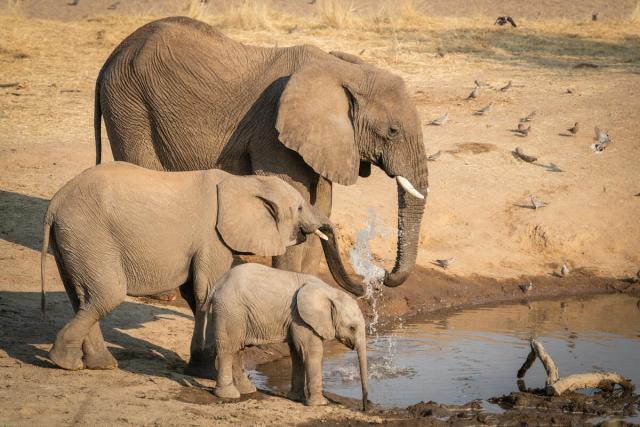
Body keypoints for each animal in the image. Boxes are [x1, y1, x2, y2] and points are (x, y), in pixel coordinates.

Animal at [40, 161, 344, 377]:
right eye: (300, 207)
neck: (242, 181)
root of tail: (55, 203)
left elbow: (195, 293)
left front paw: (200, 368)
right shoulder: (212, 236)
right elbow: (207, 291)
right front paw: (207, 371)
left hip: (73, 240)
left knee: (83, 298)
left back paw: (90, 364)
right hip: (88, 235)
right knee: (106, 295)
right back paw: (67, 363)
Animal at [95, 16, 429, 296]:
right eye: (393, 131)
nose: (379, 278)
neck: (339, 70)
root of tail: (112, 56)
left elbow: (321, 203)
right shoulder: (272, 132)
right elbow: (293, 201)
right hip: (129, 105)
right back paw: (160, 293)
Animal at [207, 263, 368, 411]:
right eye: (352, 328)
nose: (365, 408)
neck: (330, 292)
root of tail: (217, 285)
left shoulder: (295, 318)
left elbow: (297, 352)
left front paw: (296, 398)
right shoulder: (301, 318)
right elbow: (311, 352)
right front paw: (320, 404)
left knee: (237, 348)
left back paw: (247, 390)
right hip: (230, 311)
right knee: (228, 348)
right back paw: (228, 394)